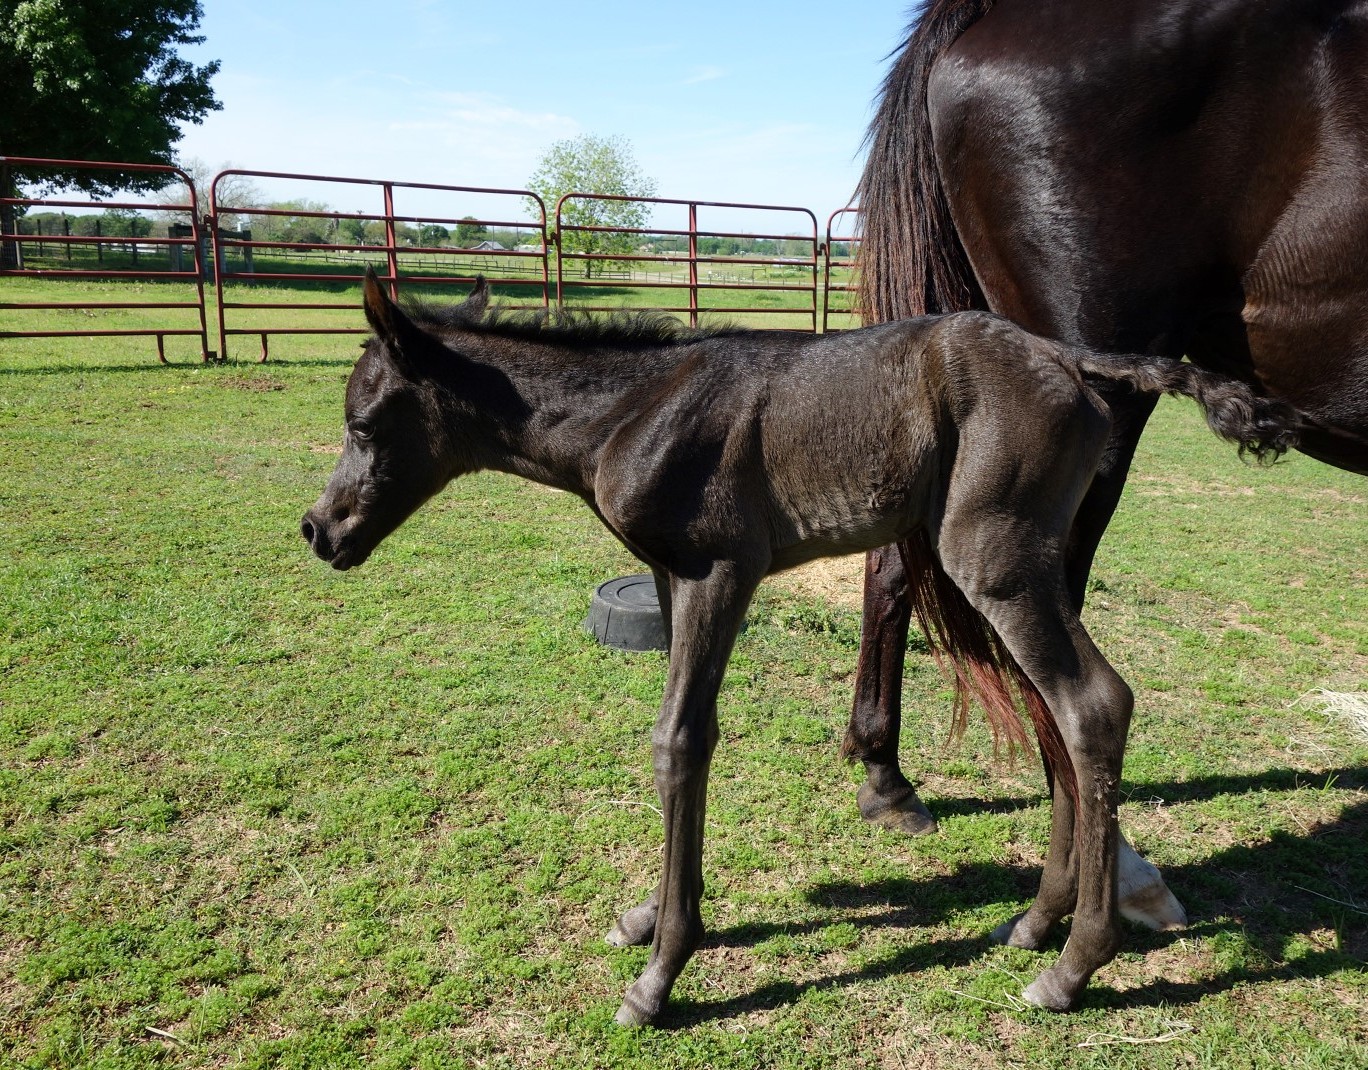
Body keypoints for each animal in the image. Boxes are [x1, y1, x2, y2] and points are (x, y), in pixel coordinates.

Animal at [301, 270, 1296, 1020]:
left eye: (362, 424)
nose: (318, 530)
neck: (629, 410)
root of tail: (1065, 355)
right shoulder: (670, 577)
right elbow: (683, 738)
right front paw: (650, 915)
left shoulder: (718, 570)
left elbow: (679, 741)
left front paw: (661, 973)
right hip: (1018, 566)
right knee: (1060, 714)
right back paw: (1034, 921)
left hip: (994, 557)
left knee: (1093, 704)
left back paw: (1072, 966)